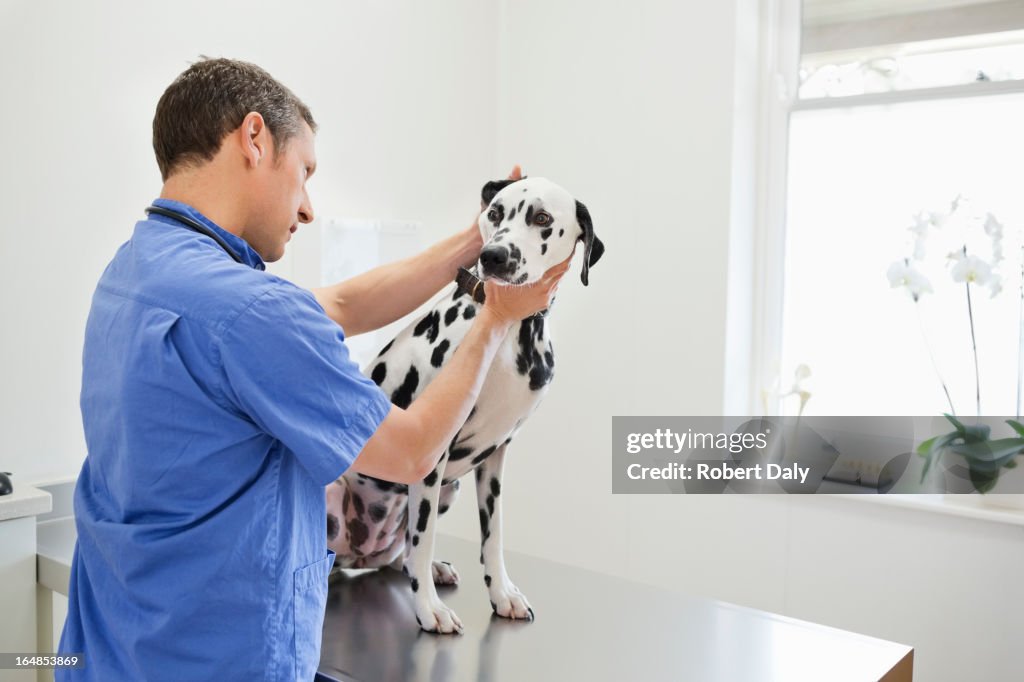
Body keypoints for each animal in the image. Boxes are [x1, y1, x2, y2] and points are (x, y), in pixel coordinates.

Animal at [323, 175, 602, 630]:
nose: (493, 256)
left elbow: (493, 537)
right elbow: (424, 538)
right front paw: (428, 608)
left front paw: (502, 594)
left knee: (399, 557)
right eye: (495, 213)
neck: (510, 335)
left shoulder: (496, 457)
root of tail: (360, 555)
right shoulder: (432, 458)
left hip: (449, 489)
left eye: (542, 218)